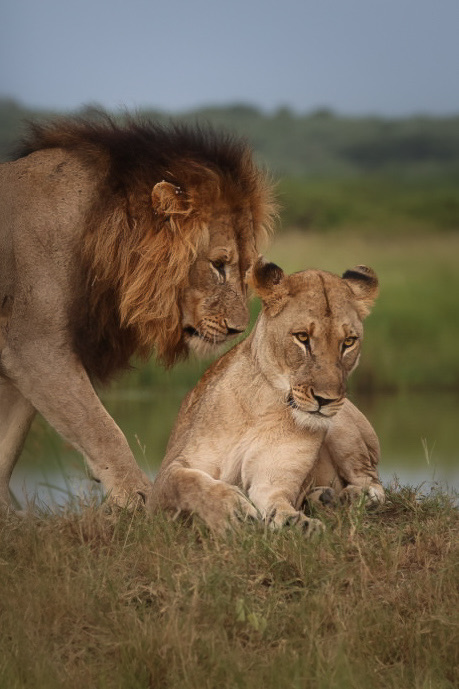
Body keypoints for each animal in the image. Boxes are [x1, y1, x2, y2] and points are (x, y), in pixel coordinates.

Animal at [0, 114, 275, 509]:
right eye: (218, 265)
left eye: (245, 268)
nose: (239, 329)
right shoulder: (33, 344)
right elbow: (100, 428)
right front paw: (142, 501)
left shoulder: (17, 354)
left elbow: (7, 444)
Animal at [150, 259, 384, 534]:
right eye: (302, 337)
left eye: (348, 341)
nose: (325, 400)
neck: (263, 405)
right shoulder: (168, 474)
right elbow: (186, 484)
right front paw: (234, 512)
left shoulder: (272, 479)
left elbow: (277, 502)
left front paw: (300, 525)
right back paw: (324, 497)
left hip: (344, 429)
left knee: (373, 483)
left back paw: (349, 497)